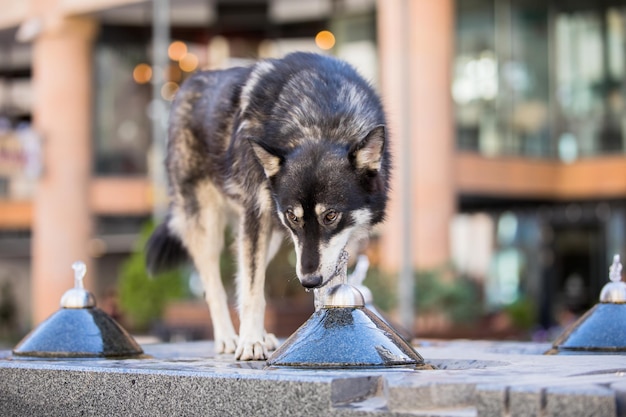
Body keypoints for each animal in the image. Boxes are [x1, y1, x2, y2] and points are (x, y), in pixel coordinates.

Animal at [147, 51, 390, 358]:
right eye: (294, 217)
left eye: (331, 216)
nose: (309, 282)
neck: (319, 120)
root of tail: (187, 84)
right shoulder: (256, 216)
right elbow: (252, 291)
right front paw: (250, 342)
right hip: (209, 226)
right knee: (214, 286)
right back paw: (229, 338)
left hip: (270, 236)